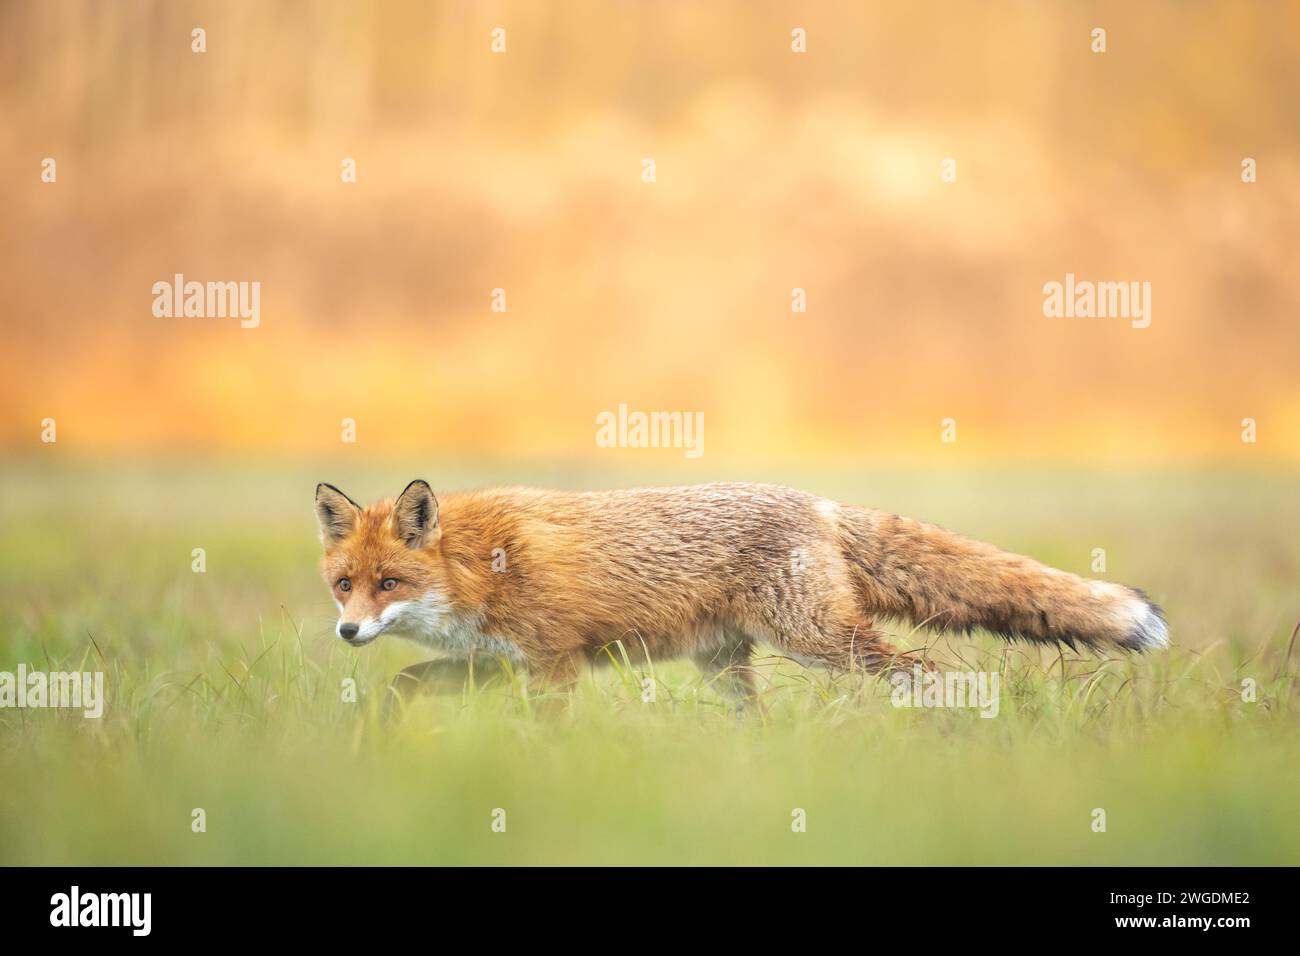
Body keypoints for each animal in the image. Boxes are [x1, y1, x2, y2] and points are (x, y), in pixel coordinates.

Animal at [314, 478, 1170, 697]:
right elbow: (405, 686)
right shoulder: (493, 663)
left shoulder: (553, 663)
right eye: (344, 586)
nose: (347, 633)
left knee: (925, 674)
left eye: (390, 582)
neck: (481, 564)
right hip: (726, 667)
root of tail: (817, 501)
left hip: (823, 642)